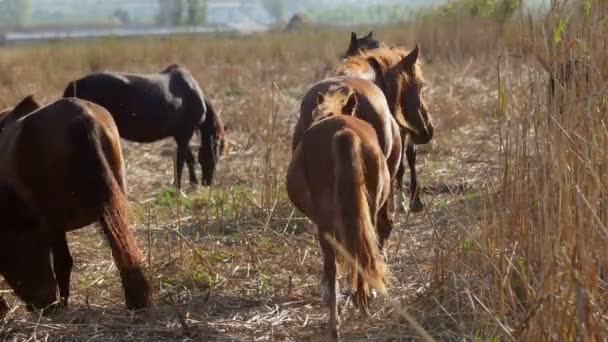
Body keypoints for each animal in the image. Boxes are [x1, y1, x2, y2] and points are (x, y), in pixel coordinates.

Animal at [0, 95, 151, 312]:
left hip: (54, 220)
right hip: (112, 203)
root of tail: (80, 117)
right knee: (121, 247)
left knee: (63, 262)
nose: (44, 305)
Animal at [63, 64, 228, 190]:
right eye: (218, 150)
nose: (208, 183)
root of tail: (75, 83)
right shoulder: (185, 134)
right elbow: (181, 161)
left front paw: (192, 184)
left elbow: (189, 158)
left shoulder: (180, 135)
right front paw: (179, 188)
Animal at [286, 89, 390, 340]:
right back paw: (363, 302)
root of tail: (344, 132)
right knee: (365, 251)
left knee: (333, 267)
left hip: (325, 224)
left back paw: (335, 324)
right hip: (368, 214)